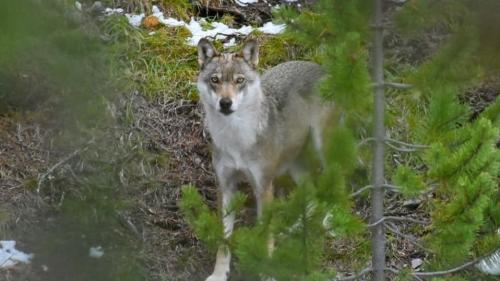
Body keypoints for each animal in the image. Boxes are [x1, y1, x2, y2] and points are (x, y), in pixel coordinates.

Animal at [197, 37, 334, 280]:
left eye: (239, 80)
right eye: (215, 80)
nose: (225, 103)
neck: (237, 139)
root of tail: (320, 68)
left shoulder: (263, 187)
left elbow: (265, 235)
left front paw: (267, 272)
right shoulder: (226, 186)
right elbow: (224, 240)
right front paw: (219, 274)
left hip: (322, 149)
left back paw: (328, 221)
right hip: (295, 166)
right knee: (312, 193)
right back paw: (295, 228)